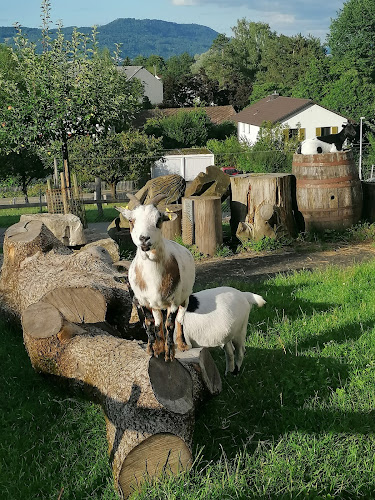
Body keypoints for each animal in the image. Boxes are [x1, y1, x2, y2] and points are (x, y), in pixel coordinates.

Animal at [116, 193, 195, 362]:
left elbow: (170, 324)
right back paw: (159, 346)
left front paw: (169, 354)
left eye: (158, 220)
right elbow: (150, 322)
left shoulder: (173, 301)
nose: (144, 238)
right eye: (131, 220)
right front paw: (153, 350)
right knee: (158, 321)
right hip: (156, 304)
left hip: (184, 297)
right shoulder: (143, 301)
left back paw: (182, 345)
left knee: (180, 319)